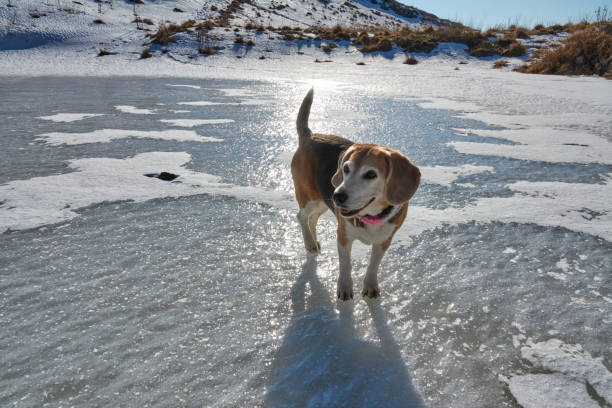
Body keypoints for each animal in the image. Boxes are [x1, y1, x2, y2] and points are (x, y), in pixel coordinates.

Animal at [292, 89, 420, 300]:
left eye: (371, 174)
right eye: (345, 168)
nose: (338, 196)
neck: (371, 216)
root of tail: (310, 136)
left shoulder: (384, 241)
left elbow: (373, 265)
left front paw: (370, 285)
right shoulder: (343, 236)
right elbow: (346, 265)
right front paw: (344, 288)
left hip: (322, 202)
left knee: (312, 219)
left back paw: (314, 240)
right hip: (310, 197)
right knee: (301, 216)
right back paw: (309, 242)